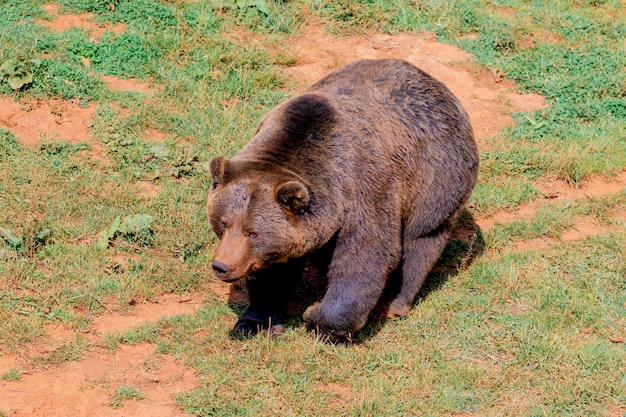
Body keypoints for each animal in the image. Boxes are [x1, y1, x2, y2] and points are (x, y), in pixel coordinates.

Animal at [207, 58, 476, 338]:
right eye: (223, 222)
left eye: (252, 232)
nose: (221, 266)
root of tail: (437, 85)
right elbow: (271, 270)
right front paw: (255, 322)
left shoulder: (363, 189)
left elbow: (365, 256)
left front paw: (314, 313)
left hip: (437, 180)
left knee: (421, 243)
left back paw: (394, 303)